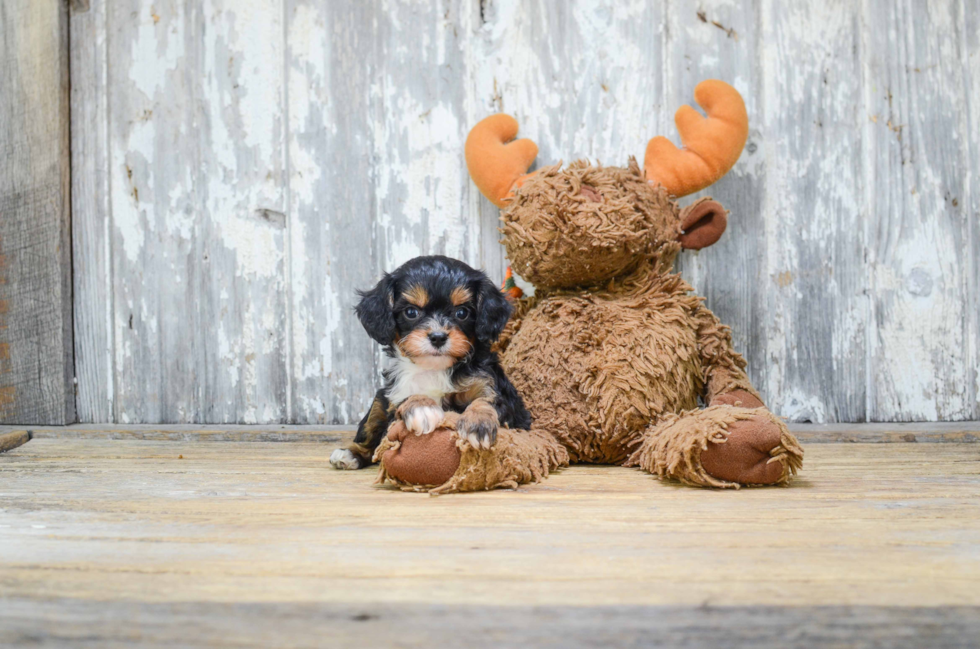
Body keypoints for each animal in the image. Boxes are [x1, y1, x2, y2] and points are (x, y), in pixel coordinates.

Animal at [330, 254, 532, 470]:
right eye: (411, 312)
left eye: (462, 313)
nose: (438, 337)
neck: (434, 368)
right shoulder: (396, 392)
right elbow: (406, 399)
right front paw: (422, 408)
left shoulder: (491, 385)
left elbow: (486, 400)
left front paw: (478, 424)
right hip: (379, 399)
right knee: (370, 438)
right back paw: (348, 454)